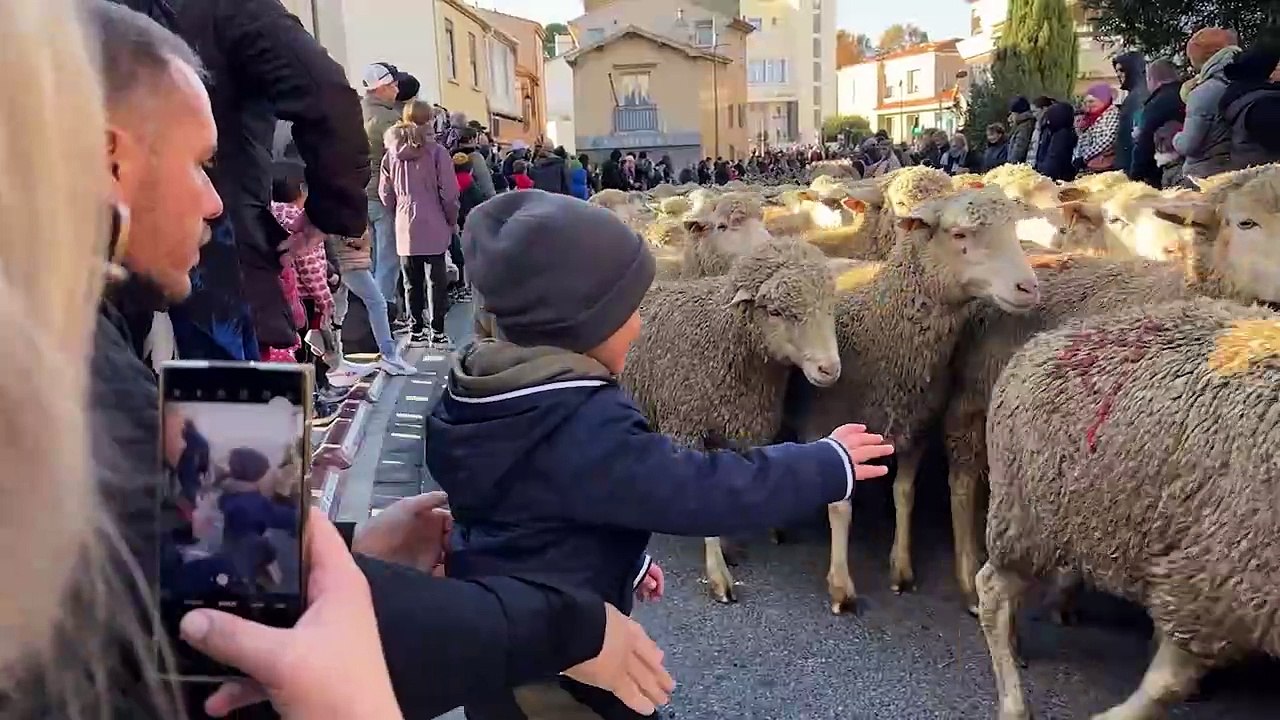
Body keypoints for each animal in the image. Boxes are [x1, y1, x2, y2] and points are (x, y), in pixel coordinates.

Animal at [788, 188, 1042, 612]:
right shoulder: (828, 424)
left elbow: (904, 494)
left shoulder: (916, 426)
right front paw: (841, 586)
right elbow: (841, 504)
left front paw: (902, 567)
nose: (1029, 288)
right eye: (959, 234)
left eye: (1013, 229)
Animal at [978, 297, 1280, 720]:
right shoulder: (1214, 581)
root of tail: (1036, 344)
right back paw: (1014, 705)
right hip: (1029, 518)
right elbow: (1166, 685)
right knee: (991, 591)